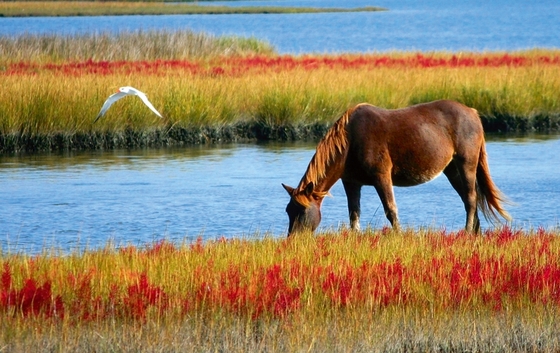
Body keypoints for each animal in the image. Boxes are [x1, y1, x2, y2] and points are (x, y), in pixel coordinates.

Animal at [282, 99, 510, 235]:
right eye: (288, 210)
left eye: (302, 211)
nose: (293, 240)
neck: (350, 140)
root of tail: (472, 112)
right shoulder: (351, 182)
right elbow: (354, 213)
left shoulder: (381, 176)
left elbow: (390, 209)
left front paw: (398, 235)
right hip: (452, 169)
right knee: (468, 199)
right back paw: (474, 232)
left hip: (466, 164)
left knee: (471, 198)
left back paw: (467, 232)